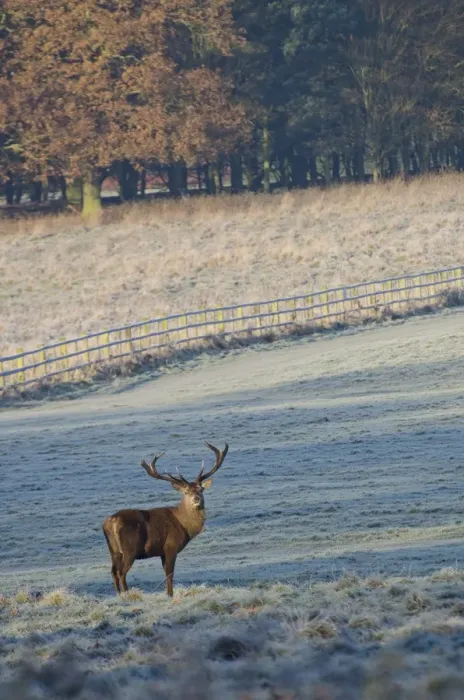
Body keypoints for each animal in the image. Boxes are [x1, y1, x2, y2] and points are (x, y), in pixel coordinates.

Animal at [102, 442, 229, 596]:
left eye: (201, 489)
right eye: (186, 491)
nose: (196, 499)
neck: (184, 525)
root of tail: (111, 522)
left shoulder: (161, 552)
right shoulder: (170, 546)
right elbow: (169, 574)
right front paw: (170, 594)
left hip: (113, 550)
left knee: (113, 572)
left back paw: (120, 595)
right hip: (130, 549)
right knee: (121, 573)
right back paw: (128, 594)